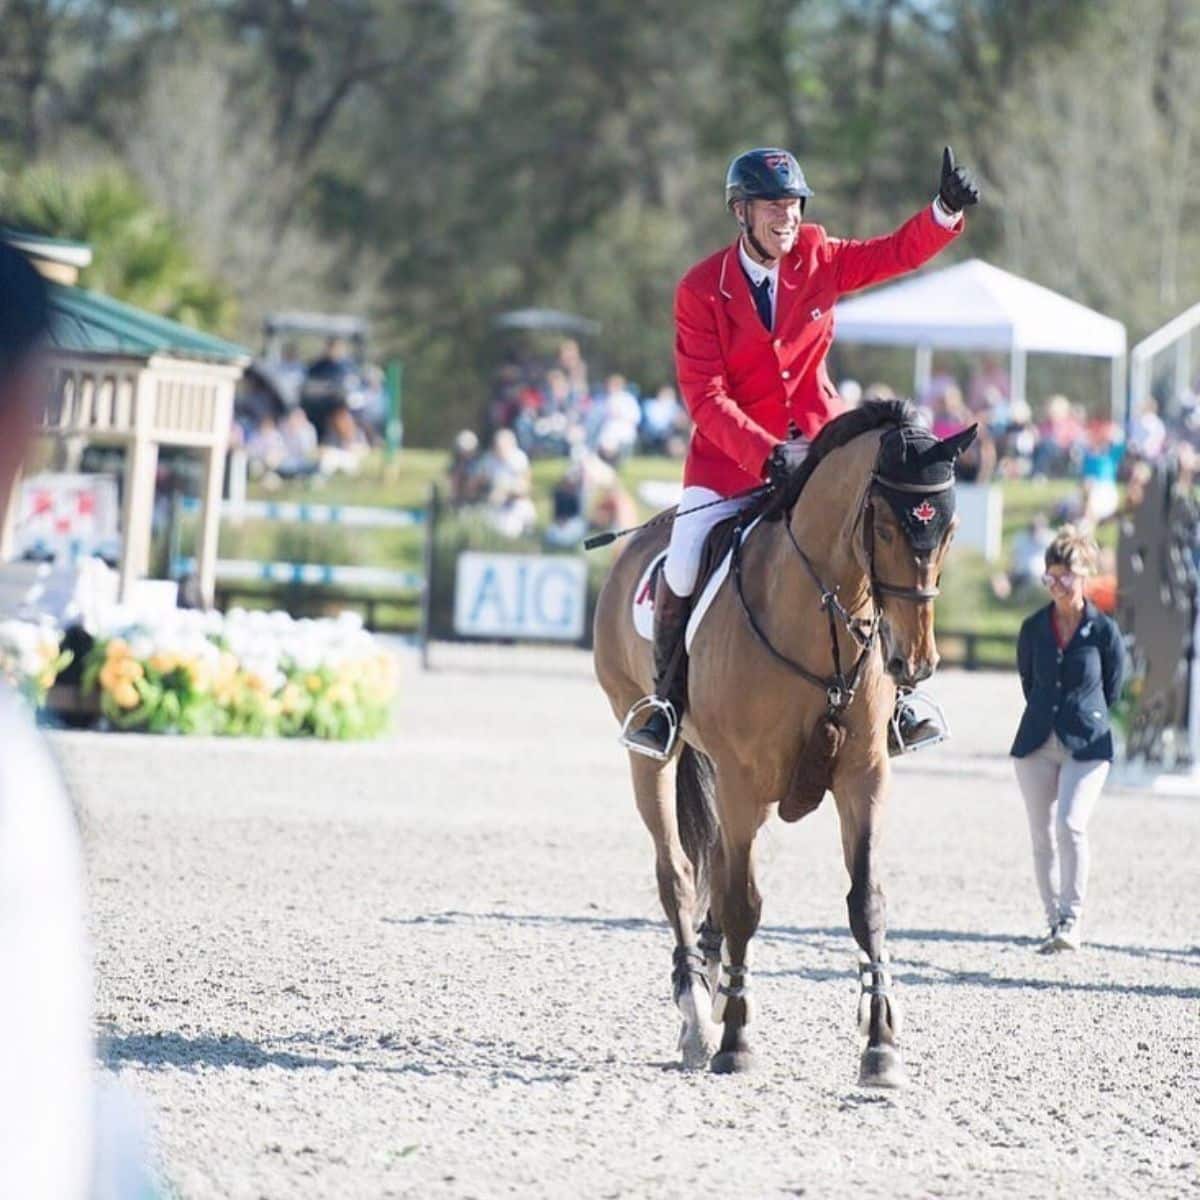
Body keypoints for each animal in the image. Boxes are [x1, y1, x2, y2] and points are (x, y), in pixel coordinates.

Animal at [590, 403, 974, 1089]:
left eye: (949, 529)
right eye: (884, 529)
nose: (915, 662)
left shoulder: (863, 776)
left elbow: (866, 901)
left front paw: (881, 1046)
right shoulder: (743, 780)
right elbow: (744, 903)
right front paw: (736, 1043)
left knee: (715, 866)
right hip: (650, 757)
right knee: (680, 874)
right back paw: (698, 1016)